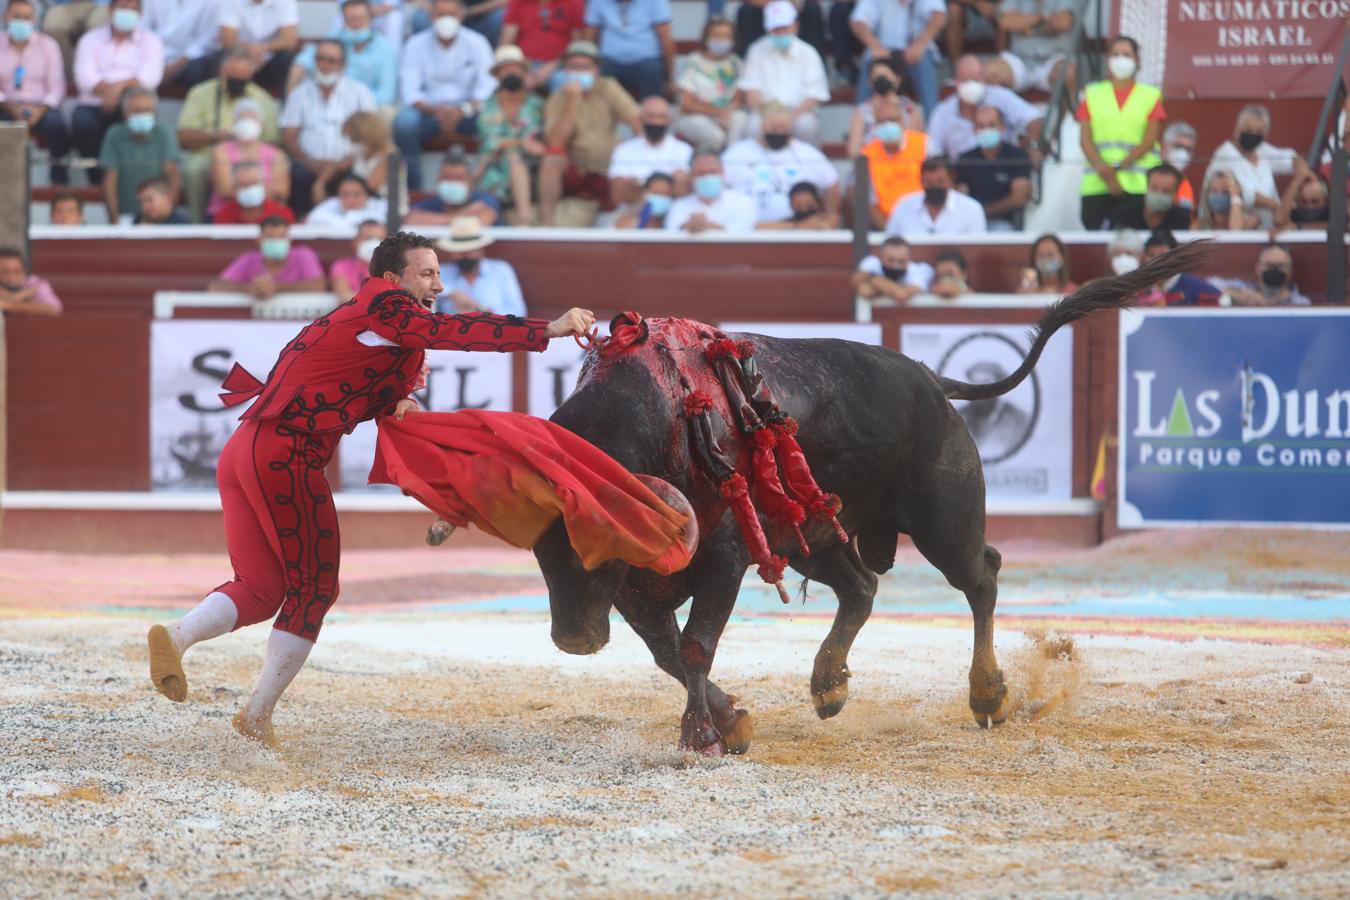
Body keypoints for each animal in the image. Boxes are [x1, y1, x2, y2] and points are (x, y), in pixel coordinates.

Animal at [531, 242, 1209, 755]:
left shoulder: (722, 559)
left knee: (981, 577)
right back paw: (829, 686)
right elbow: (670, 652)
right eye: (540, 554)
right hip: (811, 532)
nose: (572, 638)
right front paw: (733, 722)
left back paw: (987, 695)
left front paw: (702, 736)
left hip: (943, 524)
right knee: (862, 587)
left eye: (596, 542)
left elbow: (694, 645)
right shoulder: (638, 589)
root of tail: (932, 380)